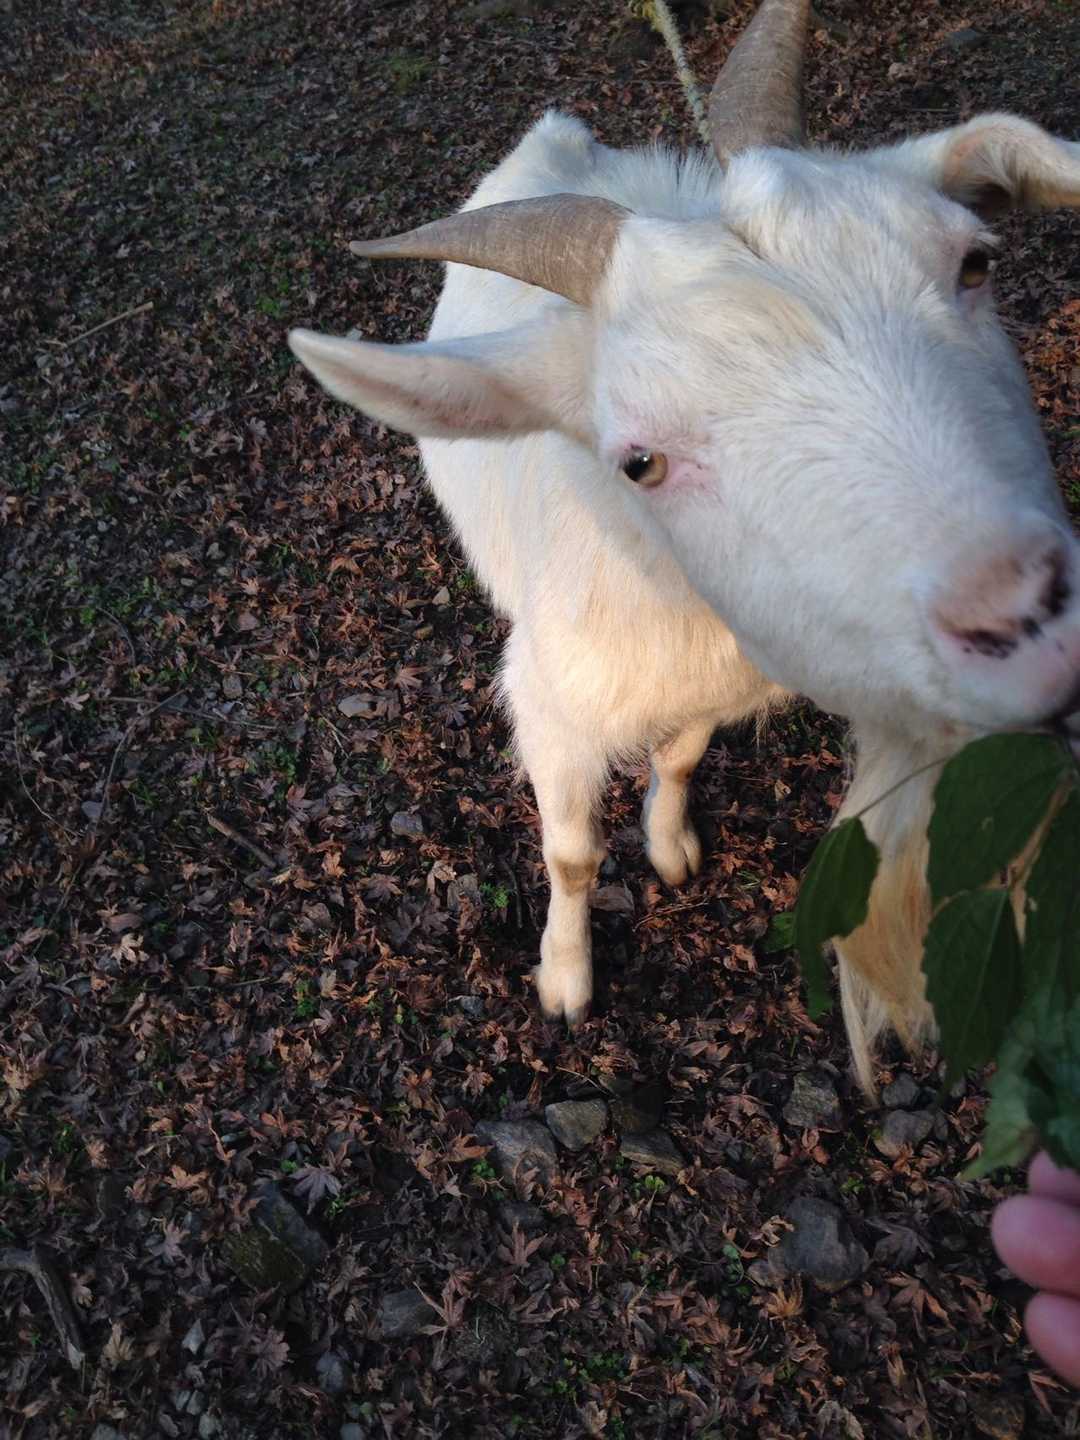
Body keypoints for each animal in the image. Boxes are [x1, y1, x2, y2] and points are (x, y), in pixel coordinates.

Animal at [289, 0, 1080, 1093]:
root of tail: (560, 134)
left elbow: (681, 754)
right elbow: (571, 857)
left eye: (975, 263)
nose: (1028, 616)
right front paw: (566, 980)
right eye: (640, 460)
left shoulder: (723, 681)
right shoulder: (552, 711)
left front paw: (670, 850)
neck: (666, 595)